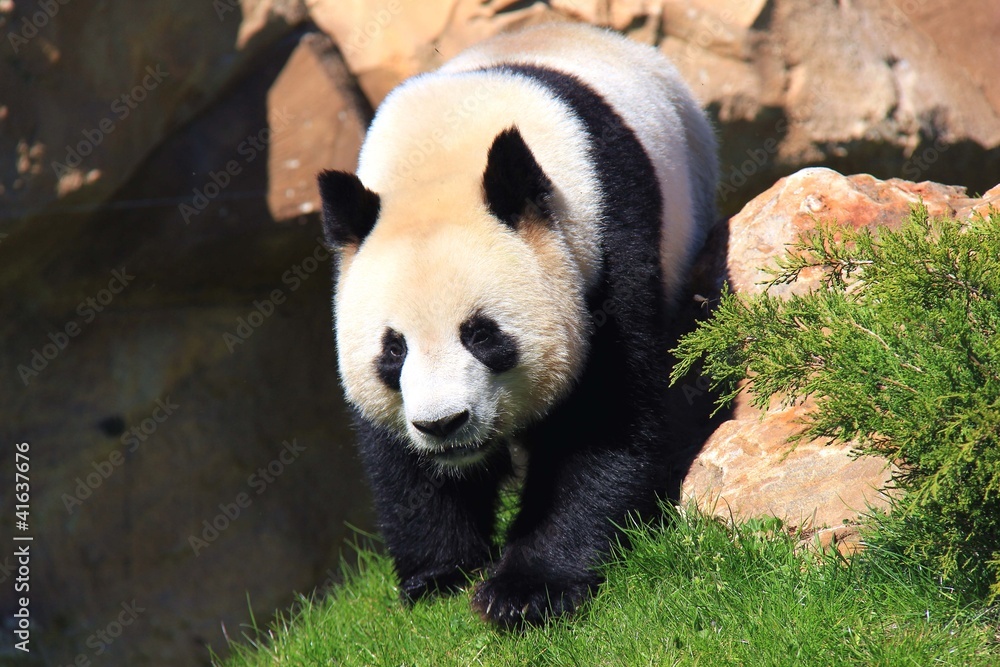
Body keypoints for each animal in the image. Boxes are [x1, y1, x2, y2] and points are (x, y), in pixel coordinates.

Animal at [318, 22, 718, 628]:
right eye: (394, 351)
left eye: (482, 335)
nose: (443, 425)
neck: (441, 158)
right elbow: (399, 459)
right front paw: (439, 576)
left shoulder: (604, 240)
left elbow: (603, 416)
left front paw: (526, 592)